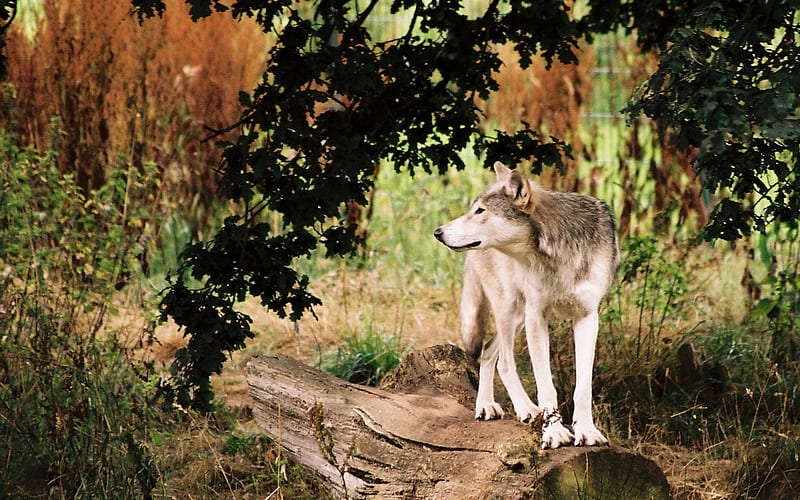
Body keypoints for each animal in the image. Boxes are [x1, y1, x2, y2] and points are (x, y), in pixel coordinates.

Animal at [434, 163, 620, 450]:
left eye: (480, 211)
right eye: (474, 209)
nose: (438, 232)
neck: (556, 254)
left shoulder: (588, 317)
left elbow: (583, 387)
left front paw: (586, 431)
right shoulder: (536, 316)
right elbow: (546, 385)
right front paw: (554, 433)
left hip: (516, 317)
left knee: (489, 352)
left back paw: (493, 406)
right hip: (511, 309)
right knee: (502, 361)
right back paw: (514, 408)